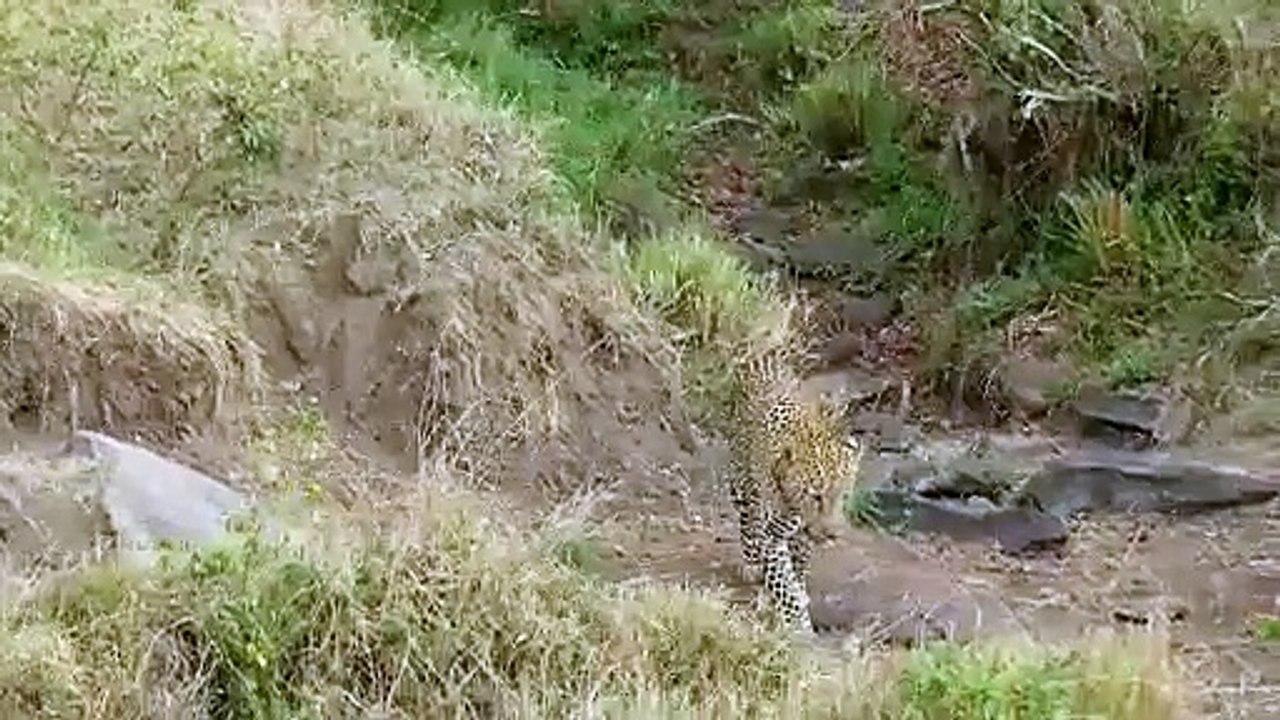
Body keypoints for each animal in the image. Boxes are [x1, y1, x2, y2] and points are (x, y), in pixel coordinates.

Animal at [724, 352, 864, 635]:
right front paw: (797, 624)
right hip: (740, 481)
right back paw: (752, 563)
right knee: (747, 520)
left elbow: (796, 567)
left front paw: (797, 590)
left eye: (843, 497)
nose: (833, 534)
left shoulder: (801, 534)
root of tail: (765, 356)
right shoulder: (772, 536)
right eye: (816, 496)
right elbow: (783, 583)